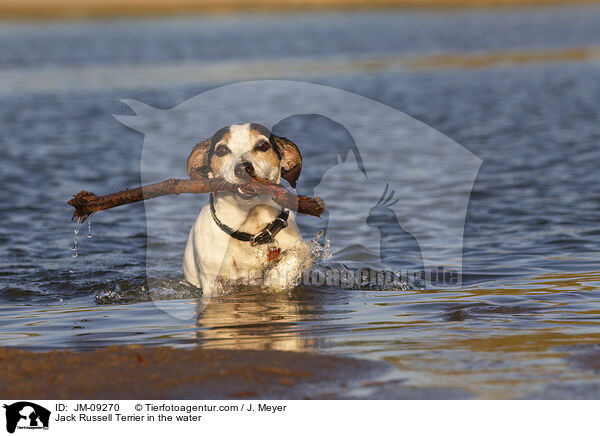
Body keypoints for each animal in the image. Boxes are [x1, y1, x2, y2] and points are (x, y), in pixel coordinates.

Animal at [183, 123, 314, 296]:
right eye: (222, 150)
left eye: (262, 146)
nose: (243, 168)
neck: (250, 225)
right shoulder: (213, 282)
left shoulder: (301, 249)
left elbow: (294, 258)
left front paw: (274, 280)